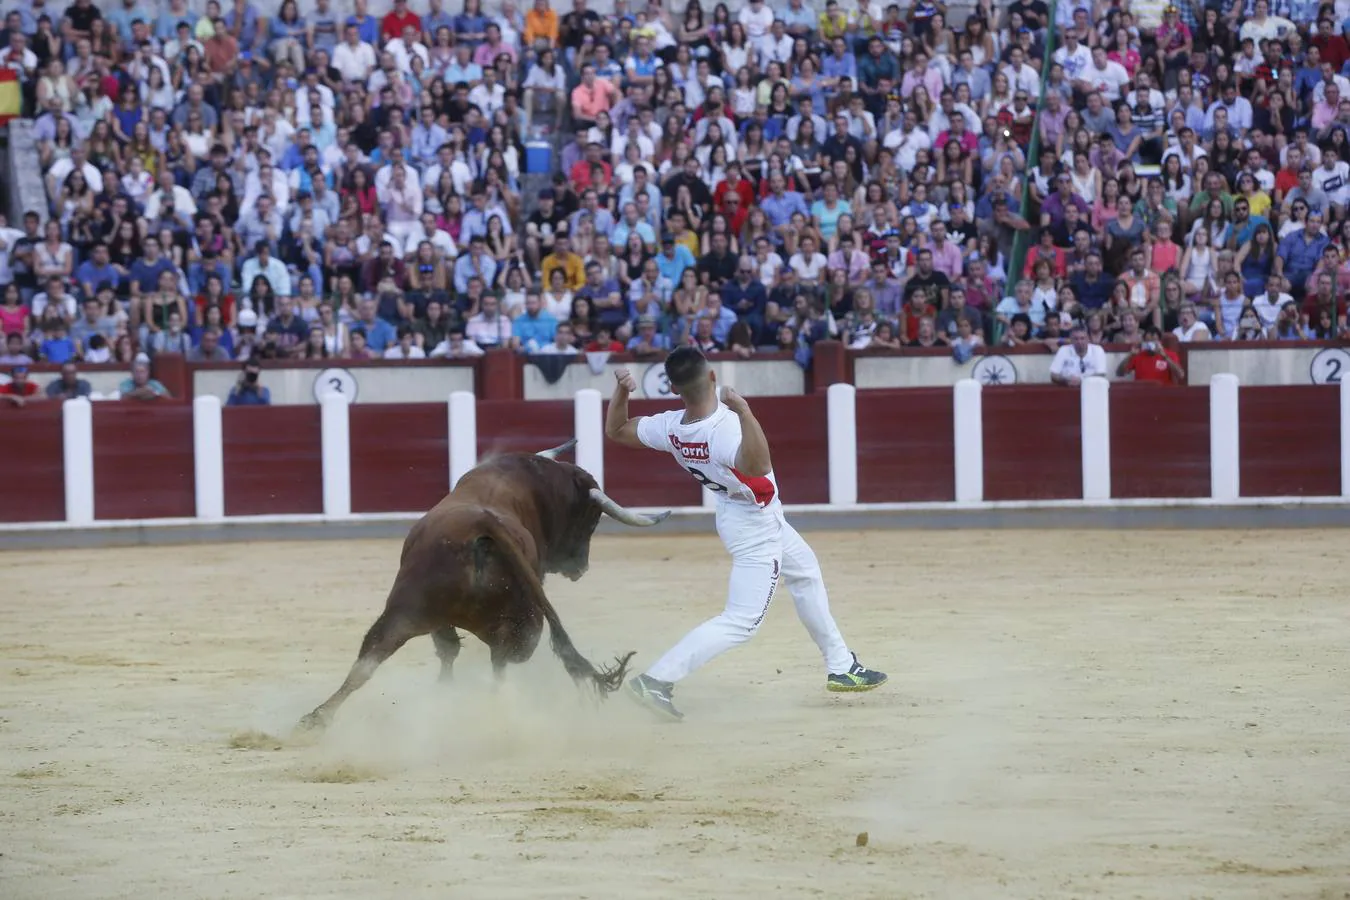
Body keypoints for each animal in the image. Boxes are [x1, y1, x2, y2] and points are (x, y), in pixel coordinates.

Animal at [299, 442, 669, 734]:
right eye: (591, 521)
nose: (581, 567)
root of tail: (483, 525)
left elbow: (447, 649)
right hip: (521, 630)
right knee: (498, 660)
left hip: (407, 610)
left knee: (371, 657)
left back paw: (317, 718)